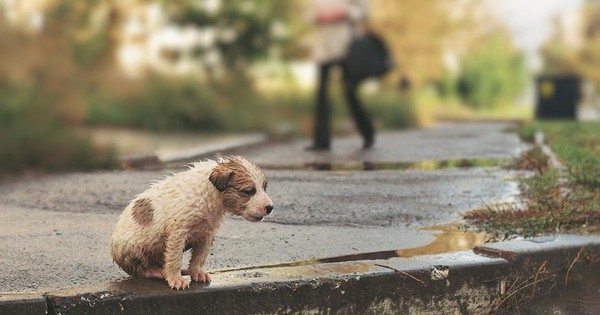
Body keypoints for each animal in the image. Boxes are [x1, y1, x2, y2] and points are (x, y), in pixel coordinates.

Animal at [110, 157, 274, 290]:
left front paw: (196, 272)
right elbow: (174, 258)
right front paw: (175, 279)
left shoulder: (207, 234)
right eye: (249, 191)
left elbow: (199, 256)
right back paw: (158, 271)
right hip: (131, 248)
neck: (210, 194)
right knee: (140, 270)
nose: (270, 207)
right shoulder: (178, 232)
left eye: (264, 187)